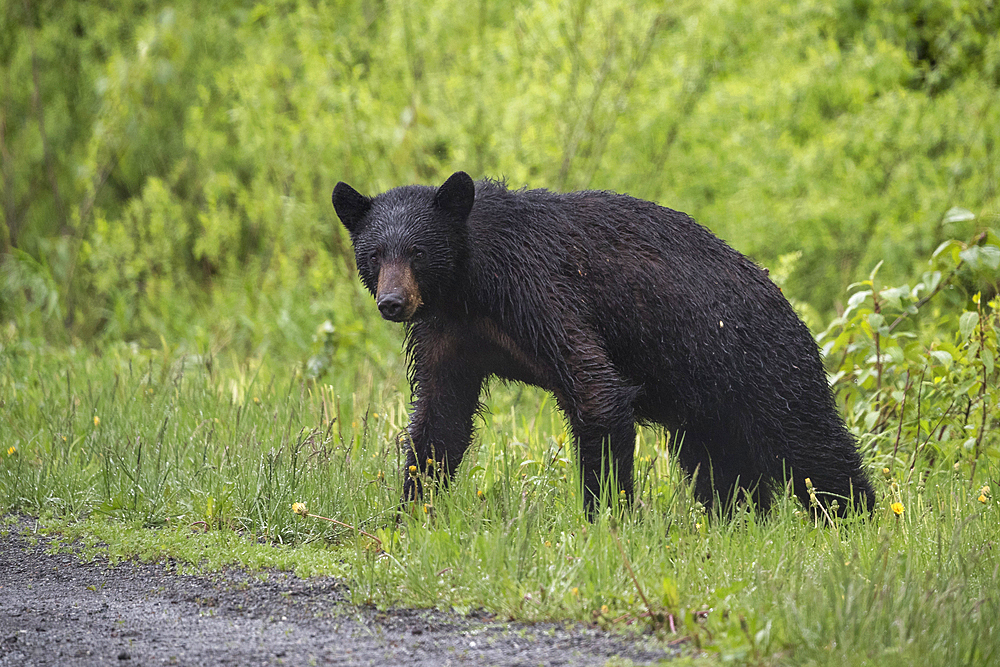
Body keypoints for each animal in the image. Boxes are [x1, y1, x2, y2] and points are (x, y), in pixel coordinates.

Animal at [330, 172, 876, 516]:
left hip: (762, 367)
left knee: (815, 451)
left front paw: (606, 517)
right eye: (374, 253)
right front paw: (408, 512)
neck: (469, 285)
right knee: (722, 469)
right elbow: (439, 420)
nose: (393, 302)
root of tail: (790, 307)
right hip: (708, 408)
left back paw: (855, 519)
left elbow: (597, 391)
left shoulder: (541, 293)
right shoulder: (449, 335)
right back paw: (738, 521)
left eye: (418, 251)